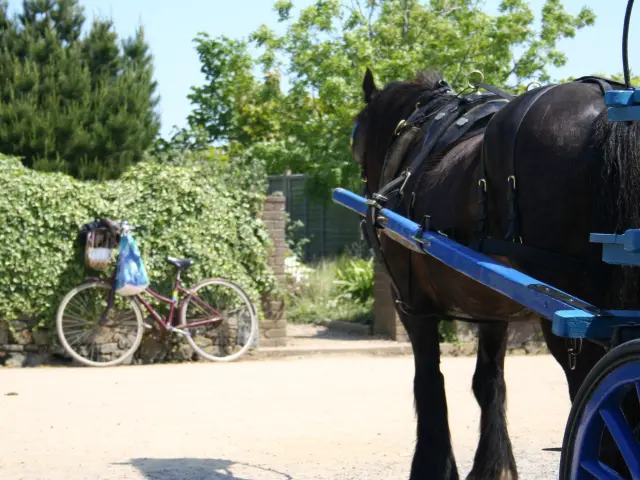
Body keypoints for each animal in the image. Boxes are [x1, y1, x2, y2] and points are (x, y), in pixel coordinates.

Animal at [349, 67, 640, 479]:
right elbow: (488, 383)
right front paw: (494, 467)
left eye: (356, 139)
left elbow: (428, 381)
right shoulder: (492, 306)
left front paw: (433, 466)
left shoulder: (411, 305)